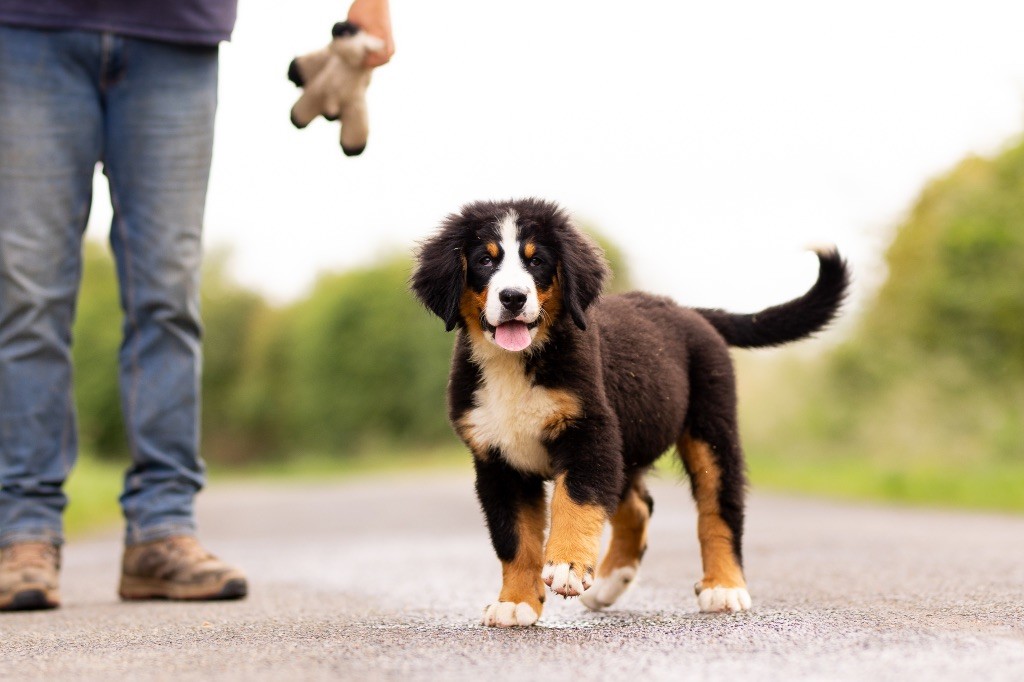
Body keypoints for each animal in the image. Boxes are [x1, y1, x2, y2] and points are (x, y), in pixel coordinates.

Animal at [407, 193, 847, 622]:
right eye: (485, 260)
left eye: (536, 261)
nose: (512, 297)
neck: (515, 364)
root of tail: (688, 311)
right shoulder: (497, 460)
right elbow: (514, 539)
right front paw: (516, 602)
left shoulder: (589, 432)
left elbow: (575, 501)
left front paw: (567, 566)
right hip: (627, 444)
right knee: (638, 505)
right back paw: (609, 582)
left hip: (711, 431)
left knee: (719, 508)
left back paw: (724, 587)